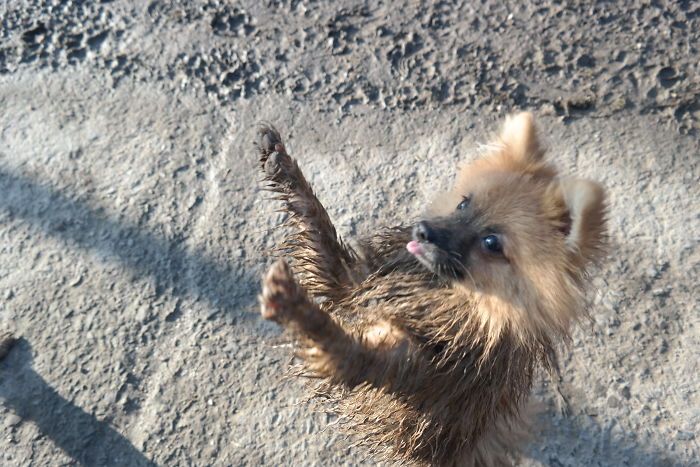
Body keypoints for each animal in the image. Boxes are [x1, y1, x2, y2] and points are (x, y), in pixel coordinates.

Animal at [258, 114, 608, 467]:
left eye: (491, 243)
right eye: (463, 204)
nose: (423, 231)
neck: (441, 291)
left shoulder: (417, 364)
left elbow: (338, 343)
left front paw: (293, 305)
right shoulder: (349, 282)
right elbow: (316, 225)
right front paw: (281, 164)